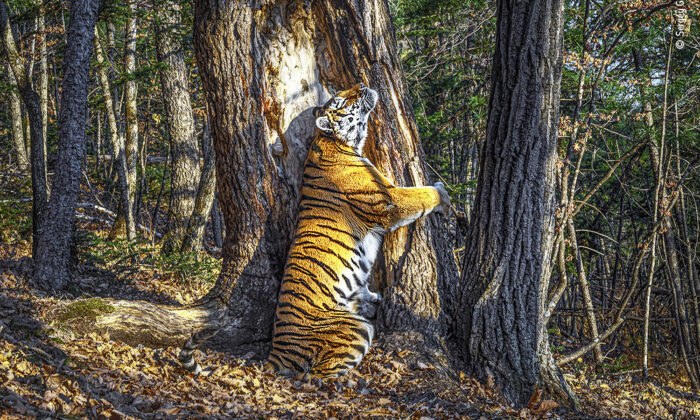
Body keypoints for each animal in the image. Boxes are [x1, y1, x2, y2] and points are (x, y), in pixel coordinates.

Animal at [264, 83, 454, 378]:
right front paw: (443, 196)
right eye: (342, 101)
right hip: (355, 329)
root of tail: (276, 350)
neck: (336, 142)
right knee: (319, 375)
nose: (362, 85)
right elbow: (421, 194)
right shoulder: (389, 200)